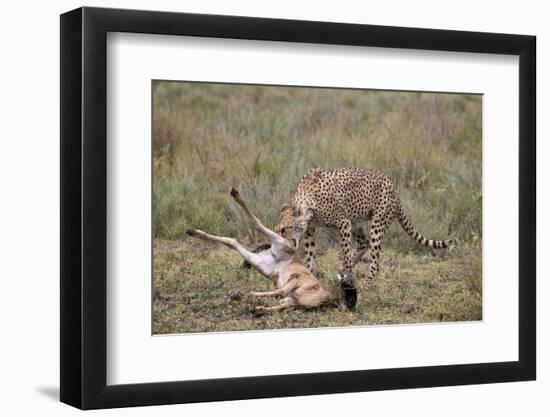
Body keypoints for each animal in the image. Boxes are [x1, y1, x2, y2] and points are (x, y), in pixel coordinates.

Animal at [274, 167, 452, 308]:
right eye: (276, 229)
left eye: (284, 229)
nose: (278, 241)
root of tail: (393, 186)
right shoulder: (311, 229)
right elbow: (310, 256)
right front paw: (310, 276)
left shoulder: (344, 223)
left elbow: (345, 253)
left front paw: (347, 281)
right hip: (357, 222)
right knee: (363, 243)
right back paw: (342, 272)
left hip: (376, 224)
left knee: (374, 258)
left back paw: (366, 281)